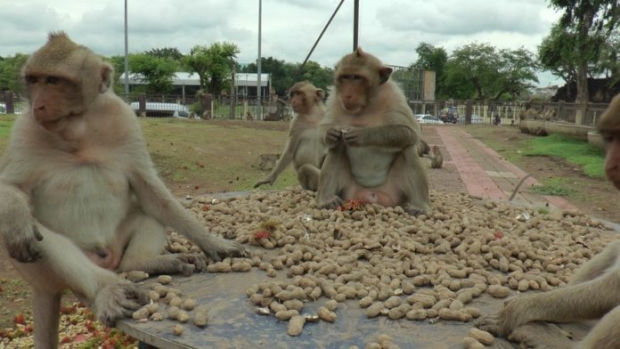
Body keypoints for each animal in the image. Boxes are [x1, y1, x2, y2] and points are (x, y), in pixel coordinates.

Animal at [0, 31, 247, 346]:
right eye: (33, 80)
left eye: (53, 81)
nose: (38, 105)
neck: (78, 128)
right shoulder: (26, 128)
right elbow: (9, 187)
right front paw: (18, 221)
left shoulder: (124, 119)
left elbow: (149, 190)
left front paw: (214, 243)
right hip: (50, 273)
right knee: (38, 236)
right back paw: (107, 289)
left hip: (116, 246)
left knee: (148, 212)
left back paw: (144, 263)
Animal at [314, 47, 432, 213]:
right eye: (345, 77)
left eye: (357, 78)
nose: (347, 95)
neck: (366, 105)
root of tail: (370, 196)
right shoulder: (335, 99)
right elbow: (324, 131)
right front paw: (331, 134)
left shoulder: (394, 96)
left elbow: (410, 133)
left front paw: (362, 134)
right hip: (349, 191)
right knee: (337, 147)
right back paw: (326, 200)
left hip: (394, 192)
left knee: (407, 148)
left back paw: (419, 206)